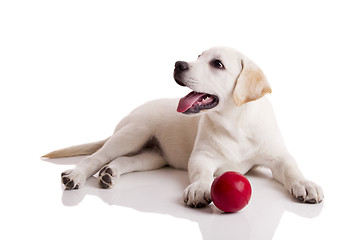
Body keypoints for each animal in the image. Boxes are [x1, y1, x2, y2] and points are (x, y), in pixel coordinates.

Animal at [43, 46, 324, 206]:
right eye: (199, 56)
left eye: (217, 64)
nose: (178, 64)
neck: (235, 122)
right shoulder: (202, 157)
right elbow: (202, 173)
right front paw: (200, 188)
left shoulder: (278, 156)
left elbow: (292, 168)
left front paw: (305, 184)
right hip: (133, 133)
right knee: (96, 157)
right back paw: (75, 176)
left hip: (152, 156)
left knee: (123, 161)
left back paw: (109, 174)